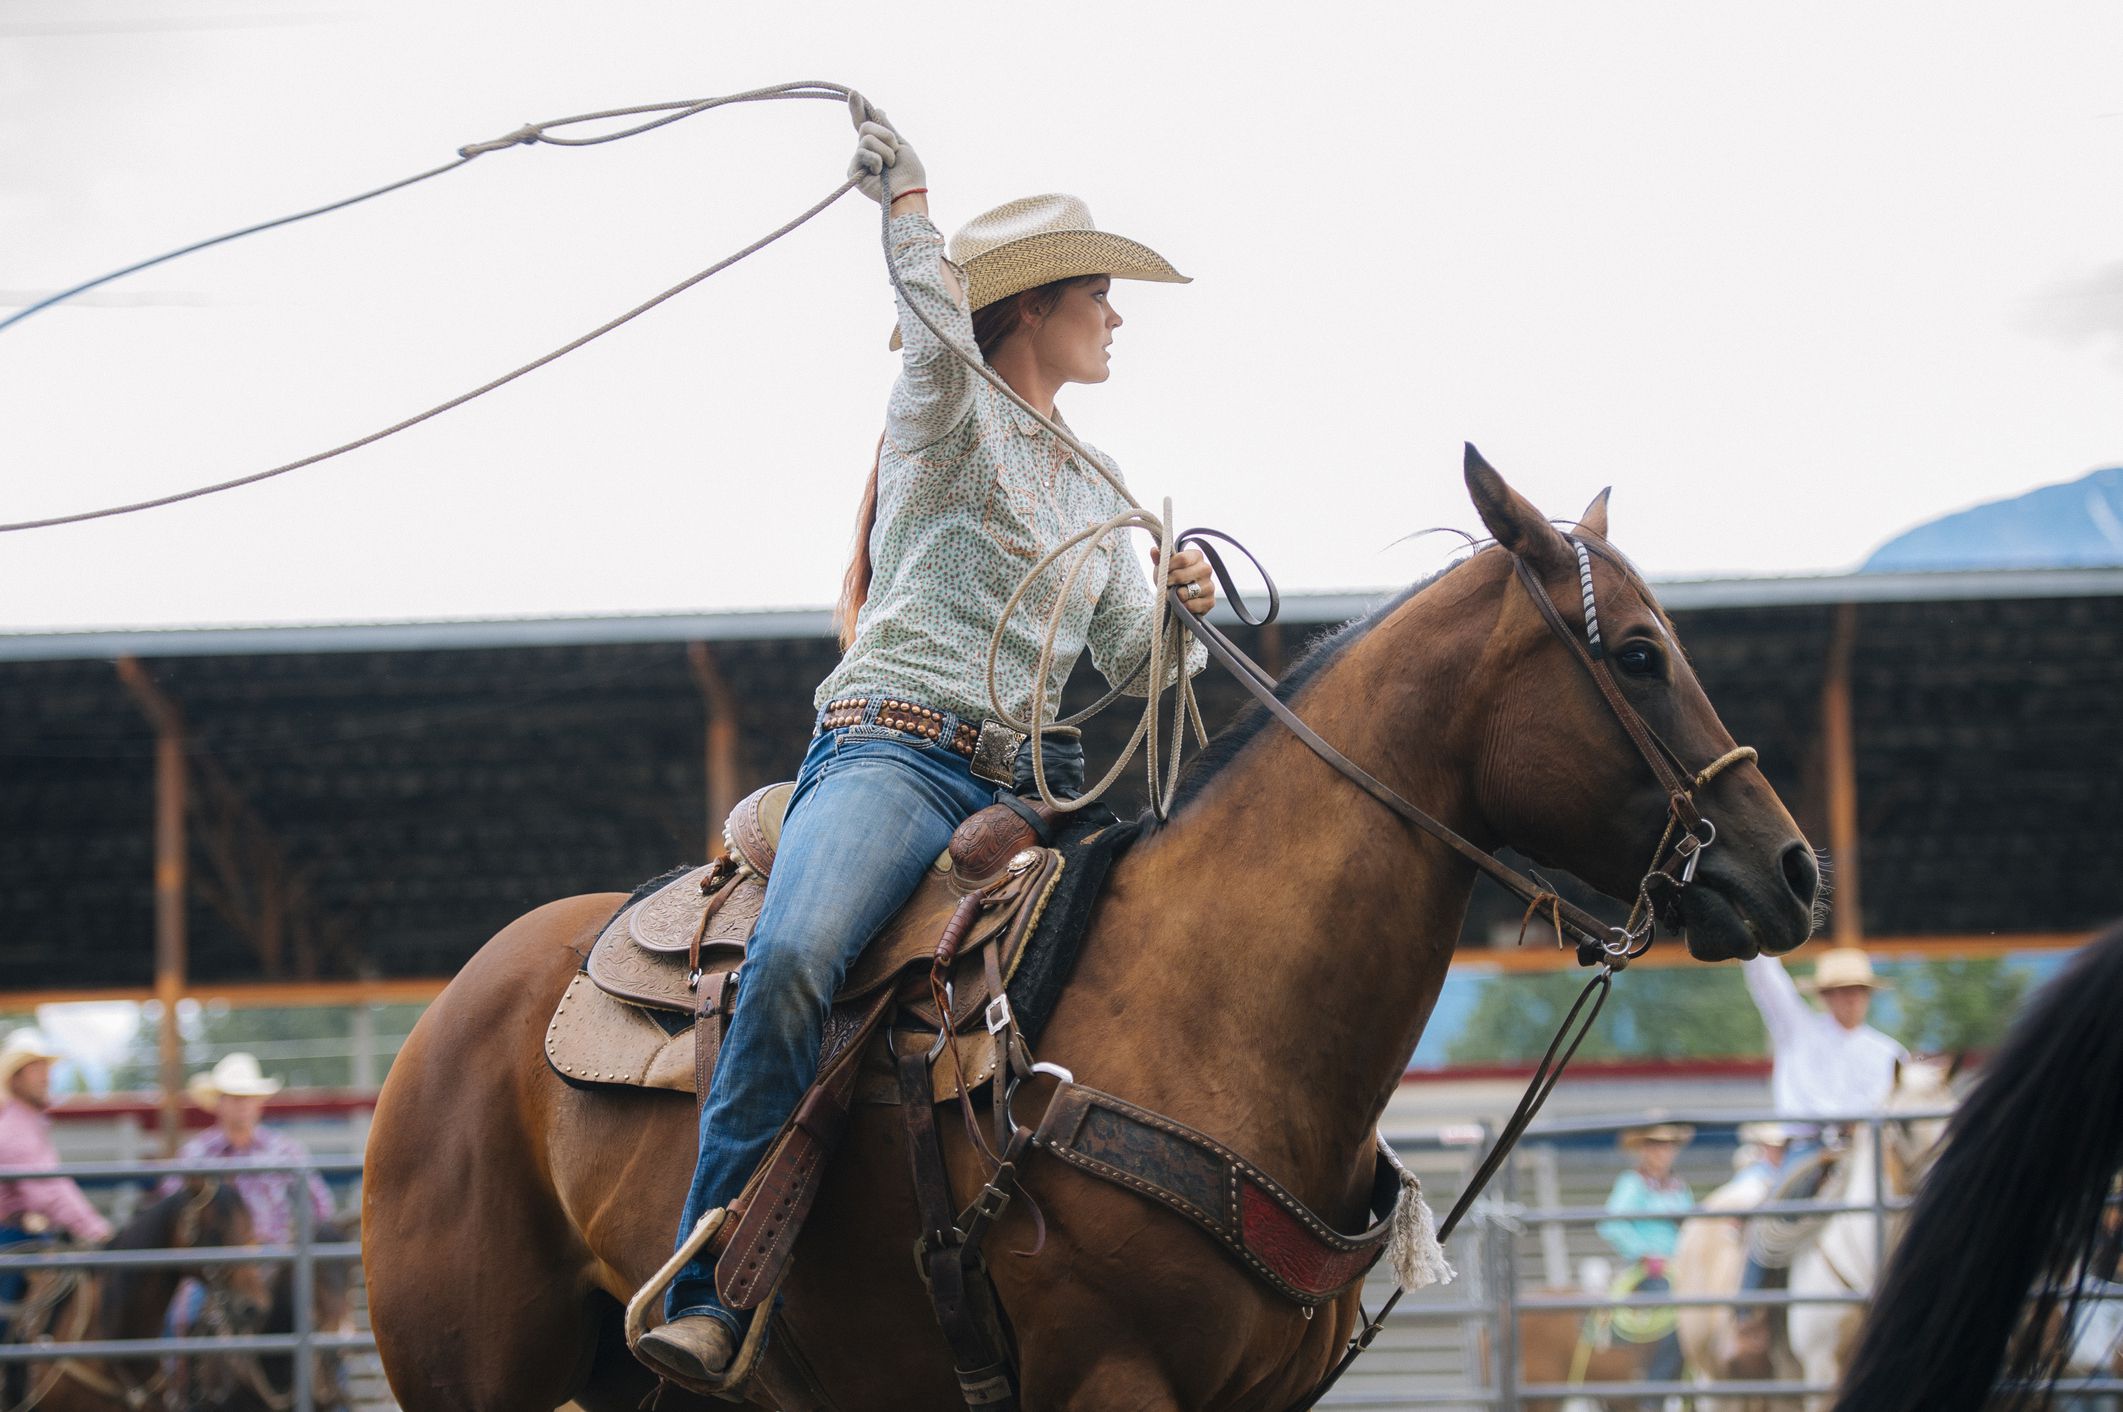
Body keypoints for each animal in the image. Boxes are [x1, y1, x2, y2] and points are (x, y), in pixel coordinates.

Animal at [369, 454, 1825, 1409]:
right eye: (1635, 653)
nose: (1793, 870)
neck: (1221, 1004)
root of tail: (447, 1013)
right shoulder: (1111, 1381)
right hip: (474, 1372)